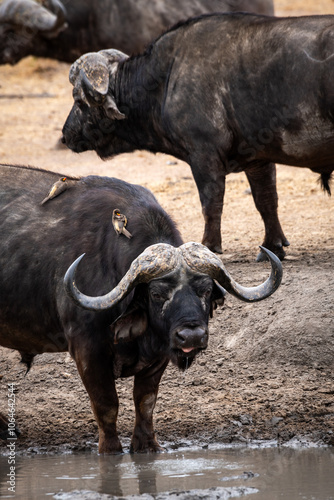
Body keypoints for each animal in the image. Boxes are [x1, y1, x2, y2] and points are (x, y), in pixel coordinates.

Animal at [0, 164, 282, 454]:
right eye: (156, 293)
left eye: (205, 290)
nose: (191, 336)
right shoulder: (86, 350)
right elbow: (107, 404)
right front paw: (111, 450)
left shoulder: (159, 353)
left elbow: (145, 402)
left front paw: (146, 446)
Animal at [62, 12, 334, 262]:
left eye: (79, 100)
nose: (66, 135)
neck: (166, 76)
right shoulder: (259, 160)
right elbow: (266, 201)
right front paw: (272, 246)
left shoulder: (204, 155)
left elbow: (211, 204)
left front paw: (209, 246)